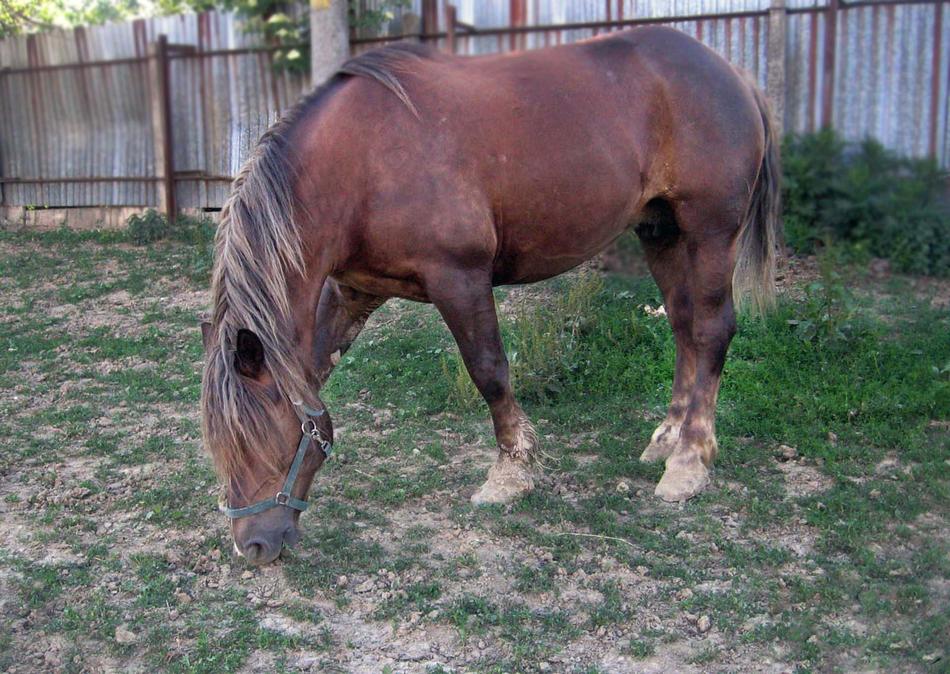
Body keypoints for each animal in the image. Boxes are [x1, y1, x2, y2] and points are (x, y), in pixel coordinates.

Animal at [200, 25, 781, 565]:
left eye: (259, 439)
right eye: (220, 446)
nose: (253, 546)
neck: (359, 163)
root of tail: (732, 73)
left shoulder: (459, 277)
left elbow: (489, 371)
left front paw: (511, 473)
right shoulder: (353, 292)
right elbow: (317, 371)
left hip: (710, 233)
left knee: (710, 330)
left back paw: (689, 462)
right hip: (660, 231)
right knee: (683, 327)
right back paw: (666, 439)